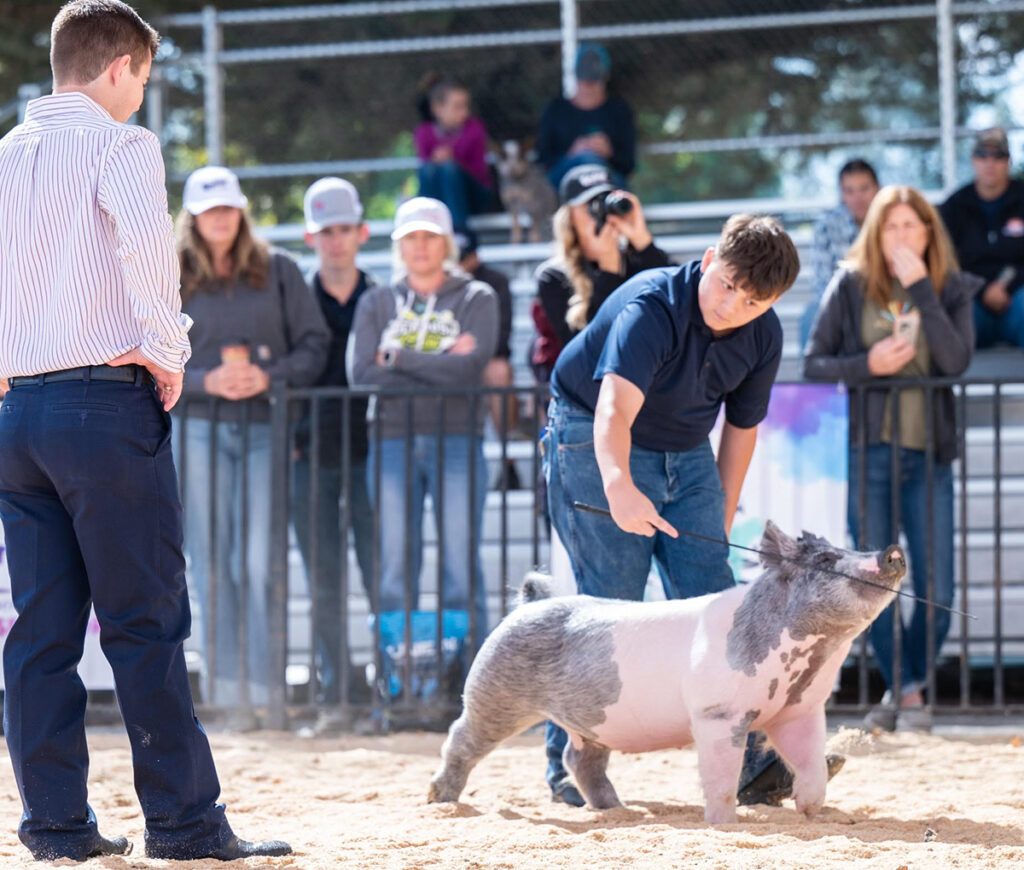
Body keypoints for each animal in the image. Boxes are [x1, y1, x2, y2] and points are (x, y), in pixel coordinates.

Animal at [428, 517, 909, 822]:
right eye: (825, 561)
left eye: (846, 549)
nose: (892, 553)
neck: (808, 665)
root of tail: (530, 603)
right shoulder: (717, 714)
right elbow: (721, 778)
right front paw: (722, 823)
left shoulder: (799, 712)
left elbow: (811, 765)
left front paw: (810, 812)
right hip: (495, 692)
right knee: (460, 739)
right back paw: (439, 800)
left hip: (588, 722)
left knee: (578, 757)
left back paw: (614, 809)